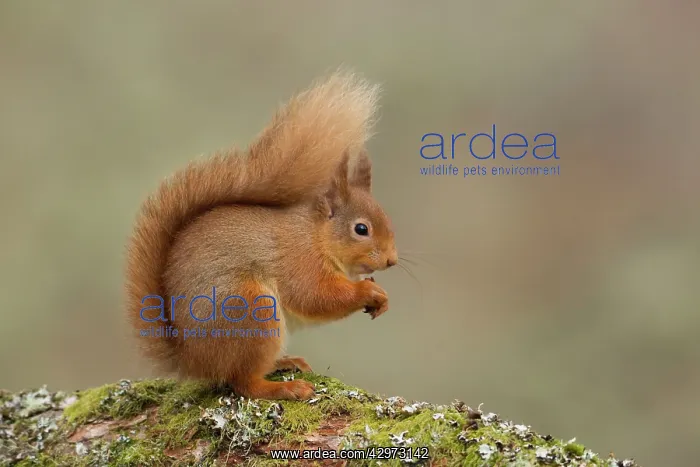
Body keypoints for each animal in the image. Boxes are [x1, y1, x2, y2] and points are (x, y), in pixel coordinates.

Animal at [124, 70, 398, 401]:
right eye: (361, 229)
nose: (392, 260)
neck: (316, 236)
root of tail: (192, 360)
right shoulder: (299, 261)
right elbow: (316, 297)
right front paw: (368, 291)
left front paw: (382, 299)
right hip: (251, 309)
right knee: (244, 383)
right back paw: (284, 388)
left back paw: (285, 362)